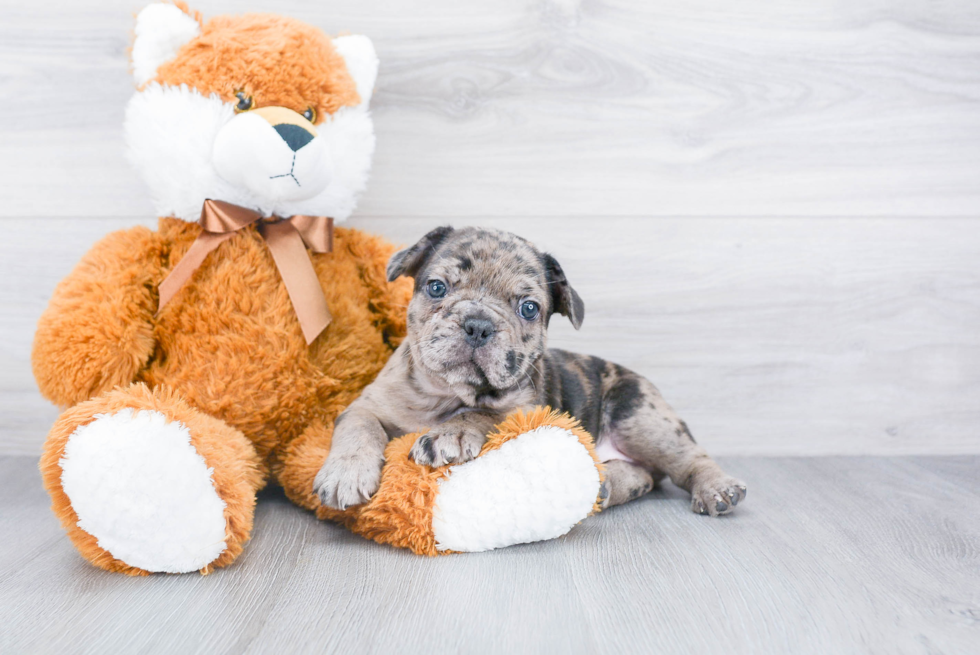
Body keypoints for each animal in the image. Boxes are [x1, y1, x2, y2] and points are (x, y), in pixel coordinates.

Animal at [318, 228, 748, 516]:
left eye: (528, 308)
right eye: (437, 287)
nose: (478, 324)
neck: (446, 393)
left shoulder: (526, 411)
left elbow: (484, 414)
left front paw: (450, 434)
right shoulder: (364, 406)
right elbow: (359, 429)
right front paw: (345, 473)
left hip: (639, 417)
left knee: (686, 461)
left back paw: (717, 488)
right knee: (643, 475)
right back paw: (605, 485)